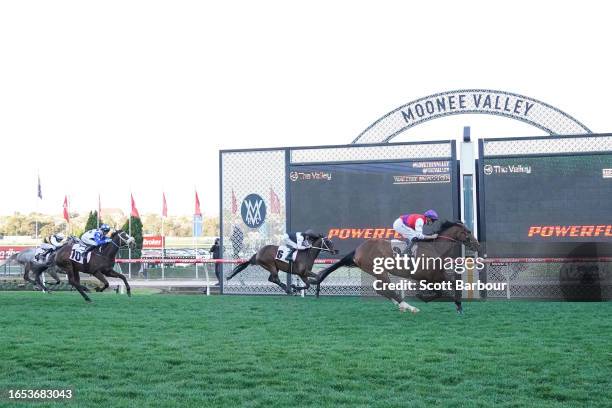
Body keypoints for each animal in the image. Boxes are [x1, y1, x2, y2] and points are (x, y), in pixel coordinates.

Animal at [318, 223, 480, 312]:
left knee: (381, 289)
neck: (435, 247)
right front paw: (422, 297)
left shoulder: (435, 275)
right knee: (384, 289)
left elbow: (453, 284)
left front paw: (459, 305)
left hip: (379, 272)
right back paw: (408, 306)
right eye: (468, 232)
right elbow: (440, 291)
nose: (477, 245)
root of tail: (358, 250)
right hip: (379, 271)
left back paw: (400, 304)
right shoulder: (428, 276)